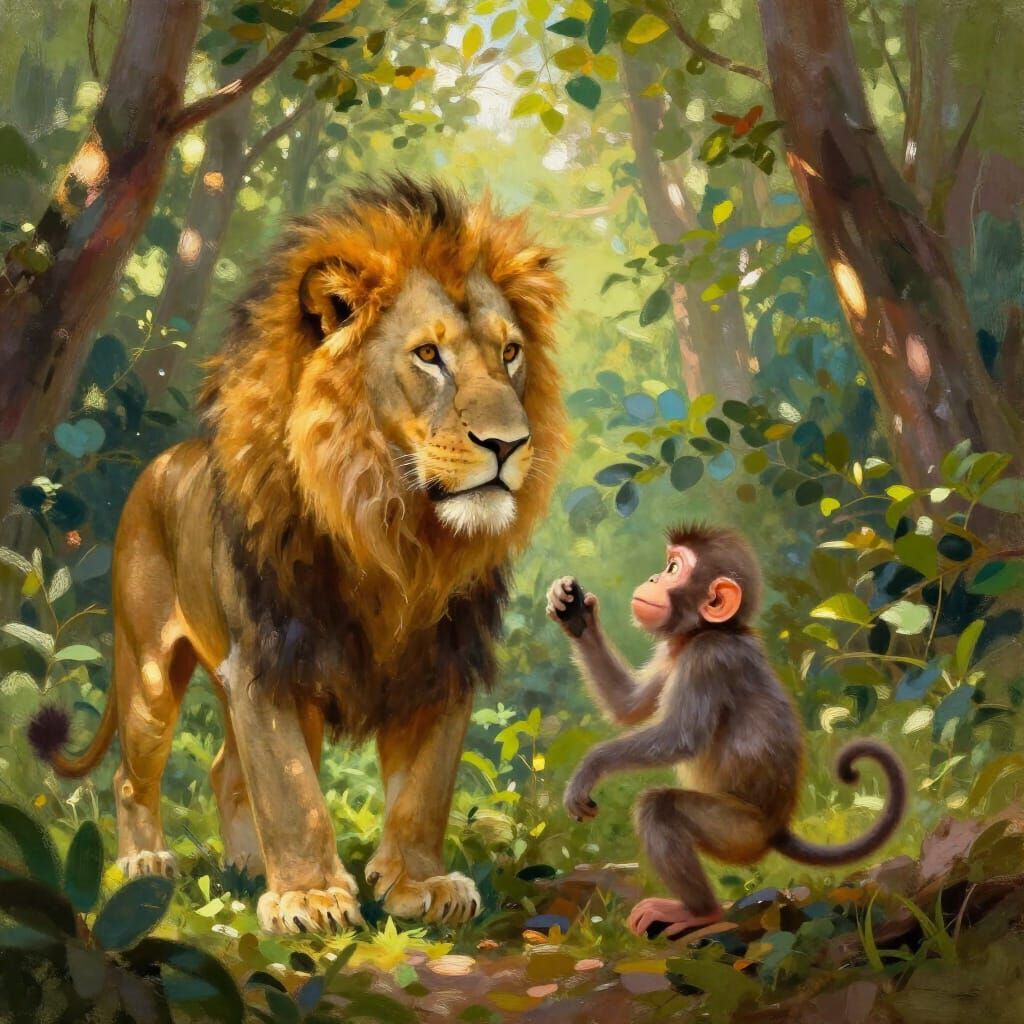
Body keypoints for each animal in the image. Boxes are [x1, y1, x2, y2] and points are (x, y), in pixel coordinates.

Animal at [36, 176, 567, 934]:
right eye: (427, 356)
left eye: (511, 353)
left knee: (226, 771)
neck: (396, 530)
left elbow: (424, 791)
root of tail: (159, 463)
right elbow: (292, 792)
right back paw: (145, 861)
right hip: (147, 674)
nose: (510, 444)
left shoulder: (444, 665)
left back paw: (244, 868)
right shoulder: (268, 662)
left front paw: (419, 884)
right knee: (133, 774)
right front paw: (311, 896)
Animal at [545, 522, 906, 940]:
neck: (706, 632)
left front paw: (590, 769)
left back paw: (701, 912)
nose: (653, 578)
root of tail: (776, 827)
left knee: (660, 808)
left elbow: (679, 740)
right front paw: (574, 614)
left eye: (673, 569)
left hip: (738, 832)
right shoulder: (676, 652)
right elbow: (628, 705)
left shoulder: (709, 658)